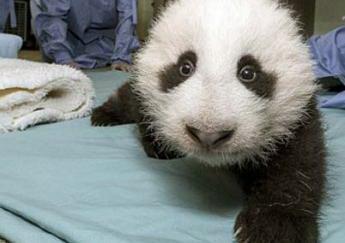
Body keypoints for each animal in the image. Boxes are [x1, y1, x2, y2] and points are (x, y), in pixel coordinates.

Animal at [91, 0, 326, 241]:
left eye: (249, 73)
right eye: (185, 67)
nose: (208, 134)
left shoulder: (296, 113)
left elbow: (298, 163)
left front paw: (275, 225)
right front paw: (160, 144)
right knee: (132, 96)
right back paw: (105, 115)